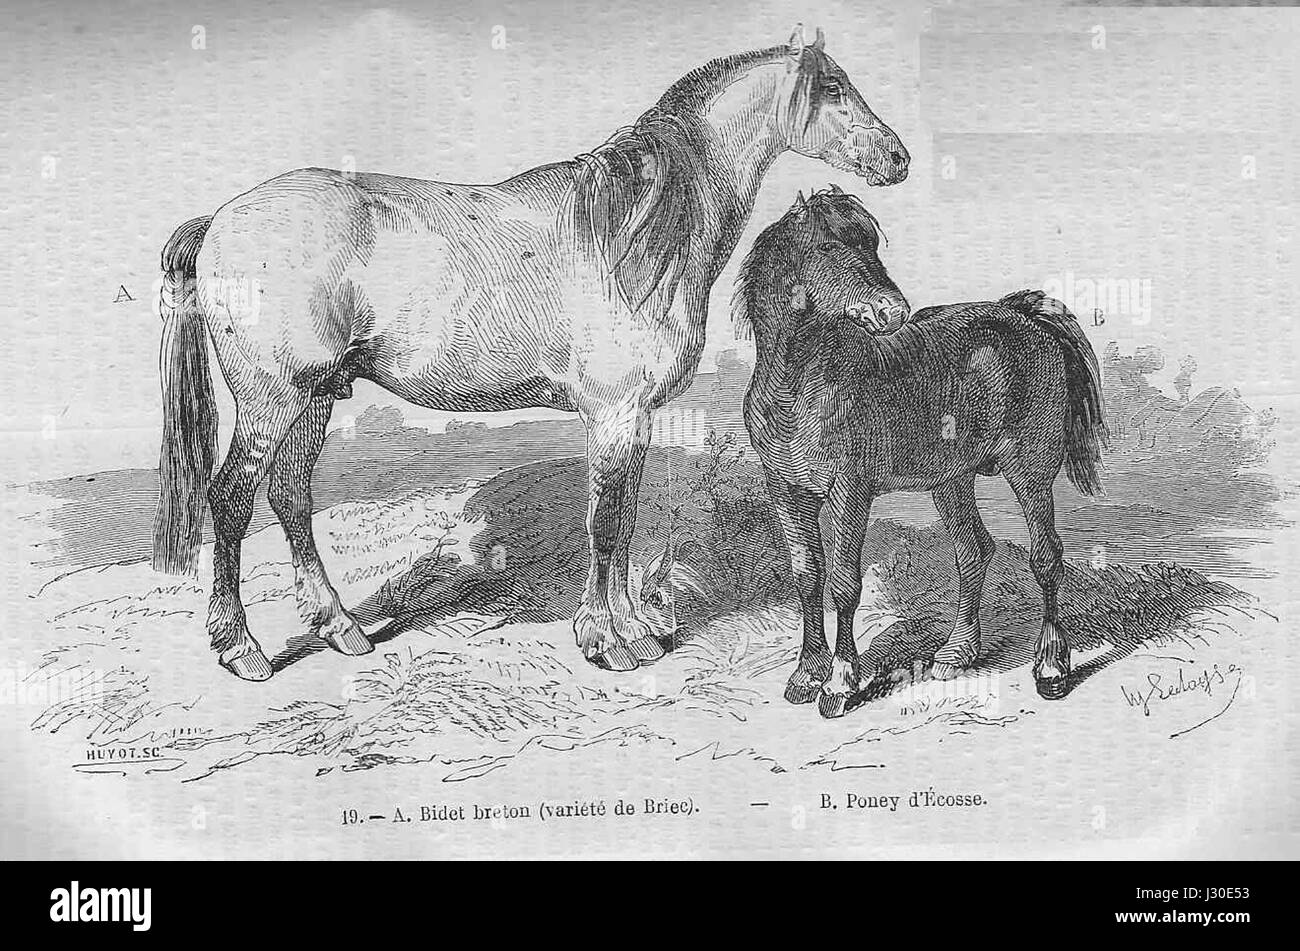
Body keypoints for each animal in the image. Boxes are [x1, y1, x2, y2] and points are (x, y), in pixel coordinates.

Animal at [151, 25, 911, 681]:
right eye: (833, 88)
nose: (898, 157)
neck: (628, 233)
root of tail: (220, 221)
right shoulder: (613, 413)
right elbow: (604, 524)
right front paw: (608, 642)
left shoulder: (633, 419)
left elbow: (622, 520)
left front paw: (632, 631)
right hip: (272, 398)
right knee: (231, 501)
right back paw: (242, 649)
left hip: (312, 397)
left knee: (291, 496)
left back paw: (342, 629)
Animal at [735, 187, 1107, 717]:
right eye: (827, 246)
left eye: (871, 244)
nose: (891, 311)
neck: (798, 384)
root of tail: (1022, 317)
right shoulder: (788, 491)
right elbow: (807, 578)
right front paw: (807, 676)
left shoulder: (850, 492)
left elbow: (843, 584)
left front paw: (840, 684)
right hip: (952, 481)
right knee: (974, 551)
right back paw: (956, 653)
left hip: (1029, 473)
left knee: (1046, 557)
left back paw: (1052, 668)